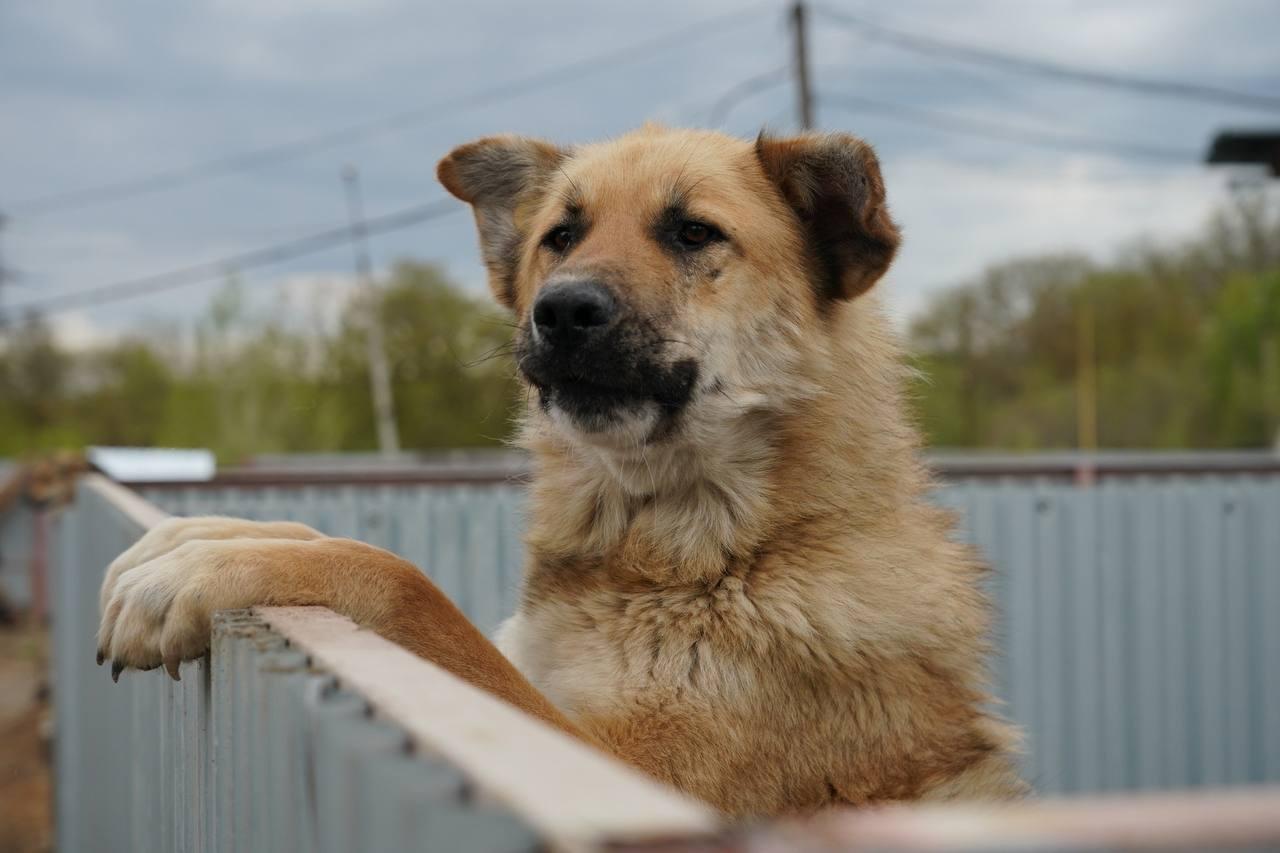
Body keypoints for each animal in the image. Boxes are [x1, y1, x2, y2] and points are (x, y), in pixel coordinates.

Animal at [94, 124, 1024, 809]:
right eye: (561, 236)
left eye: (694, 232)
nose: (562, 310)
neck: (719, 548)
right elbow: (336, 541)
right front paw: (208, 534)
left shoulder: (621, 772)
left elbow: (408, 585)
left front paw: (210, 570)